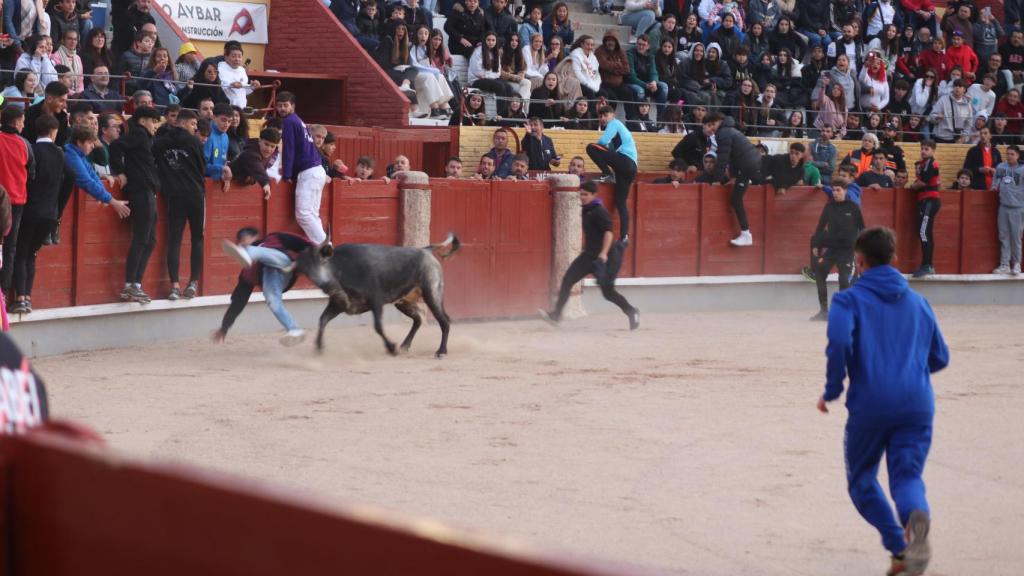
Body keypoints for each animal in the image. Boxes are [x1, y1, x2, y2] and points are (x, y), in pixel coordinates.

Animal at [292, 231, 460, 354]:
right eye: (306, 272)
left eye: (321, 261)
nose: (325, 285)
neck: (342, 268)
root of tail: (425, 250)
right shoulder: (338, 304)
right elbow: (322, 320)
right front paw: (319, 347)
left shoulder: (376, 301)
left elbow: (378, 326)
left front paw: (391, 348)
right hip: (403, 301)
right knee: (418, 319)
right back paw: (405, 346)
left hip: (432, 293)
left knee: (444, 320)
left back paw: (441, 351)